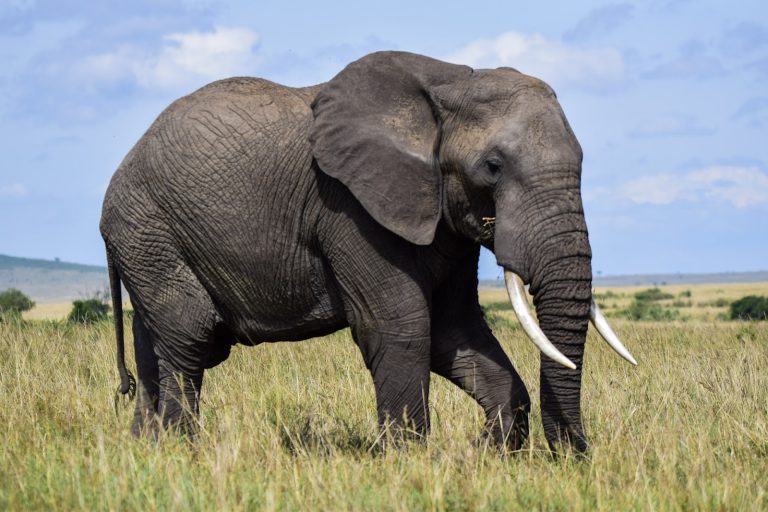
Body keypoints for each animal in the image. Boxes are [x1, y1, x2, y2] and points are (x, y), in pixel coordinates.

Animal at [101, 51, 636, 453]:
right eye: (493, 166)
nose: (576, 457)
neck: (450, 84)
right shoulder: (348, 206)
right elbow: (401, 327)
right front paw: (408, 464)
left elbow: (453, 330)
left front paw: (491, 454)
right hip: (146, 227)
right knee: (190, 335)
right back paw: (180, 451)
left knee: (156, 344)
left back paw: (144, 450)